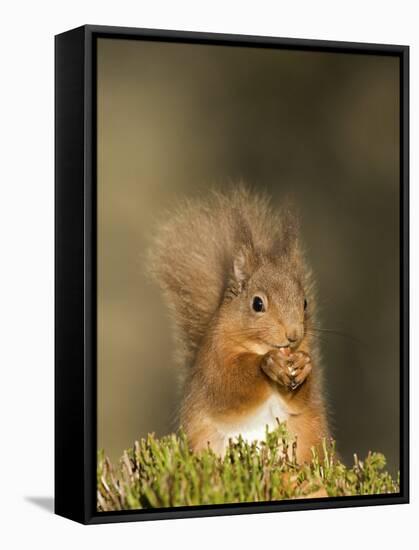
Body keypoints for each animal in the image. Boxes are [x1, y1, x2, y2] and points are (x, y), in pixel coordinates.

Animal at [149, 188, 330, 464]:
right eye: (257, 303)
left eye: (305, 302)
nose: (294, 335)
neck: (257, 346)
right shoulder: (213, 365)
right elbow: (229, 389)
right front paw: (267, 363)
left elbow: (299, 402)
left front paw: (302, 365)